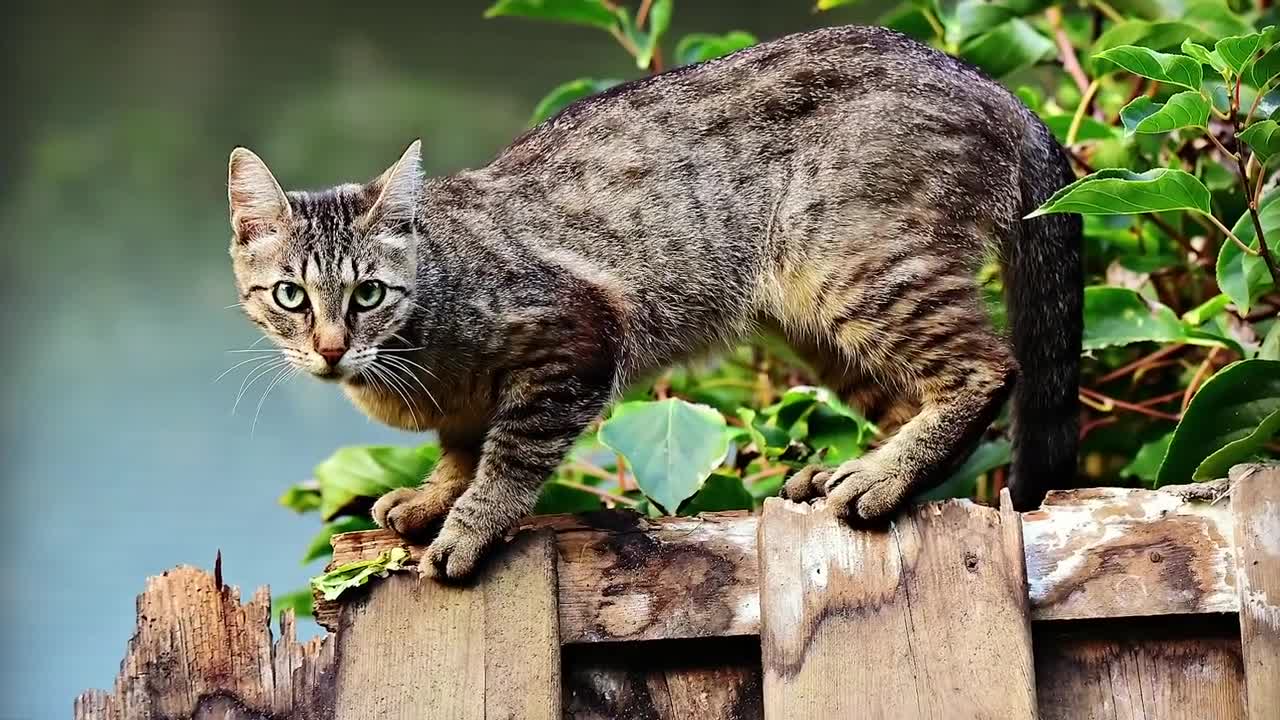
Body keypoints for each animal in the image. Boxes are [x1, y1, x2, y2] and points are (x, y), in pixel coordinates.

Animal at [227, 25, 1080, 579]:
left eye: (368, 293)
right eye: (290, 296)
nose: (331, 348)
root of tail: (991, 85)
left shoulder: (577, 338)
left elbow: (508, 457)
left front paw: (468, 525)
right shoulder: (467, 407)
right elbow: (462, 448)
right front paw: (435, 496)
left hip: (855, 266)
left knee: (987, 369)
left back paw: (881, 477)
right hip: (812, 319)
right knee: (908, 395)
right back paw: (852, 469)